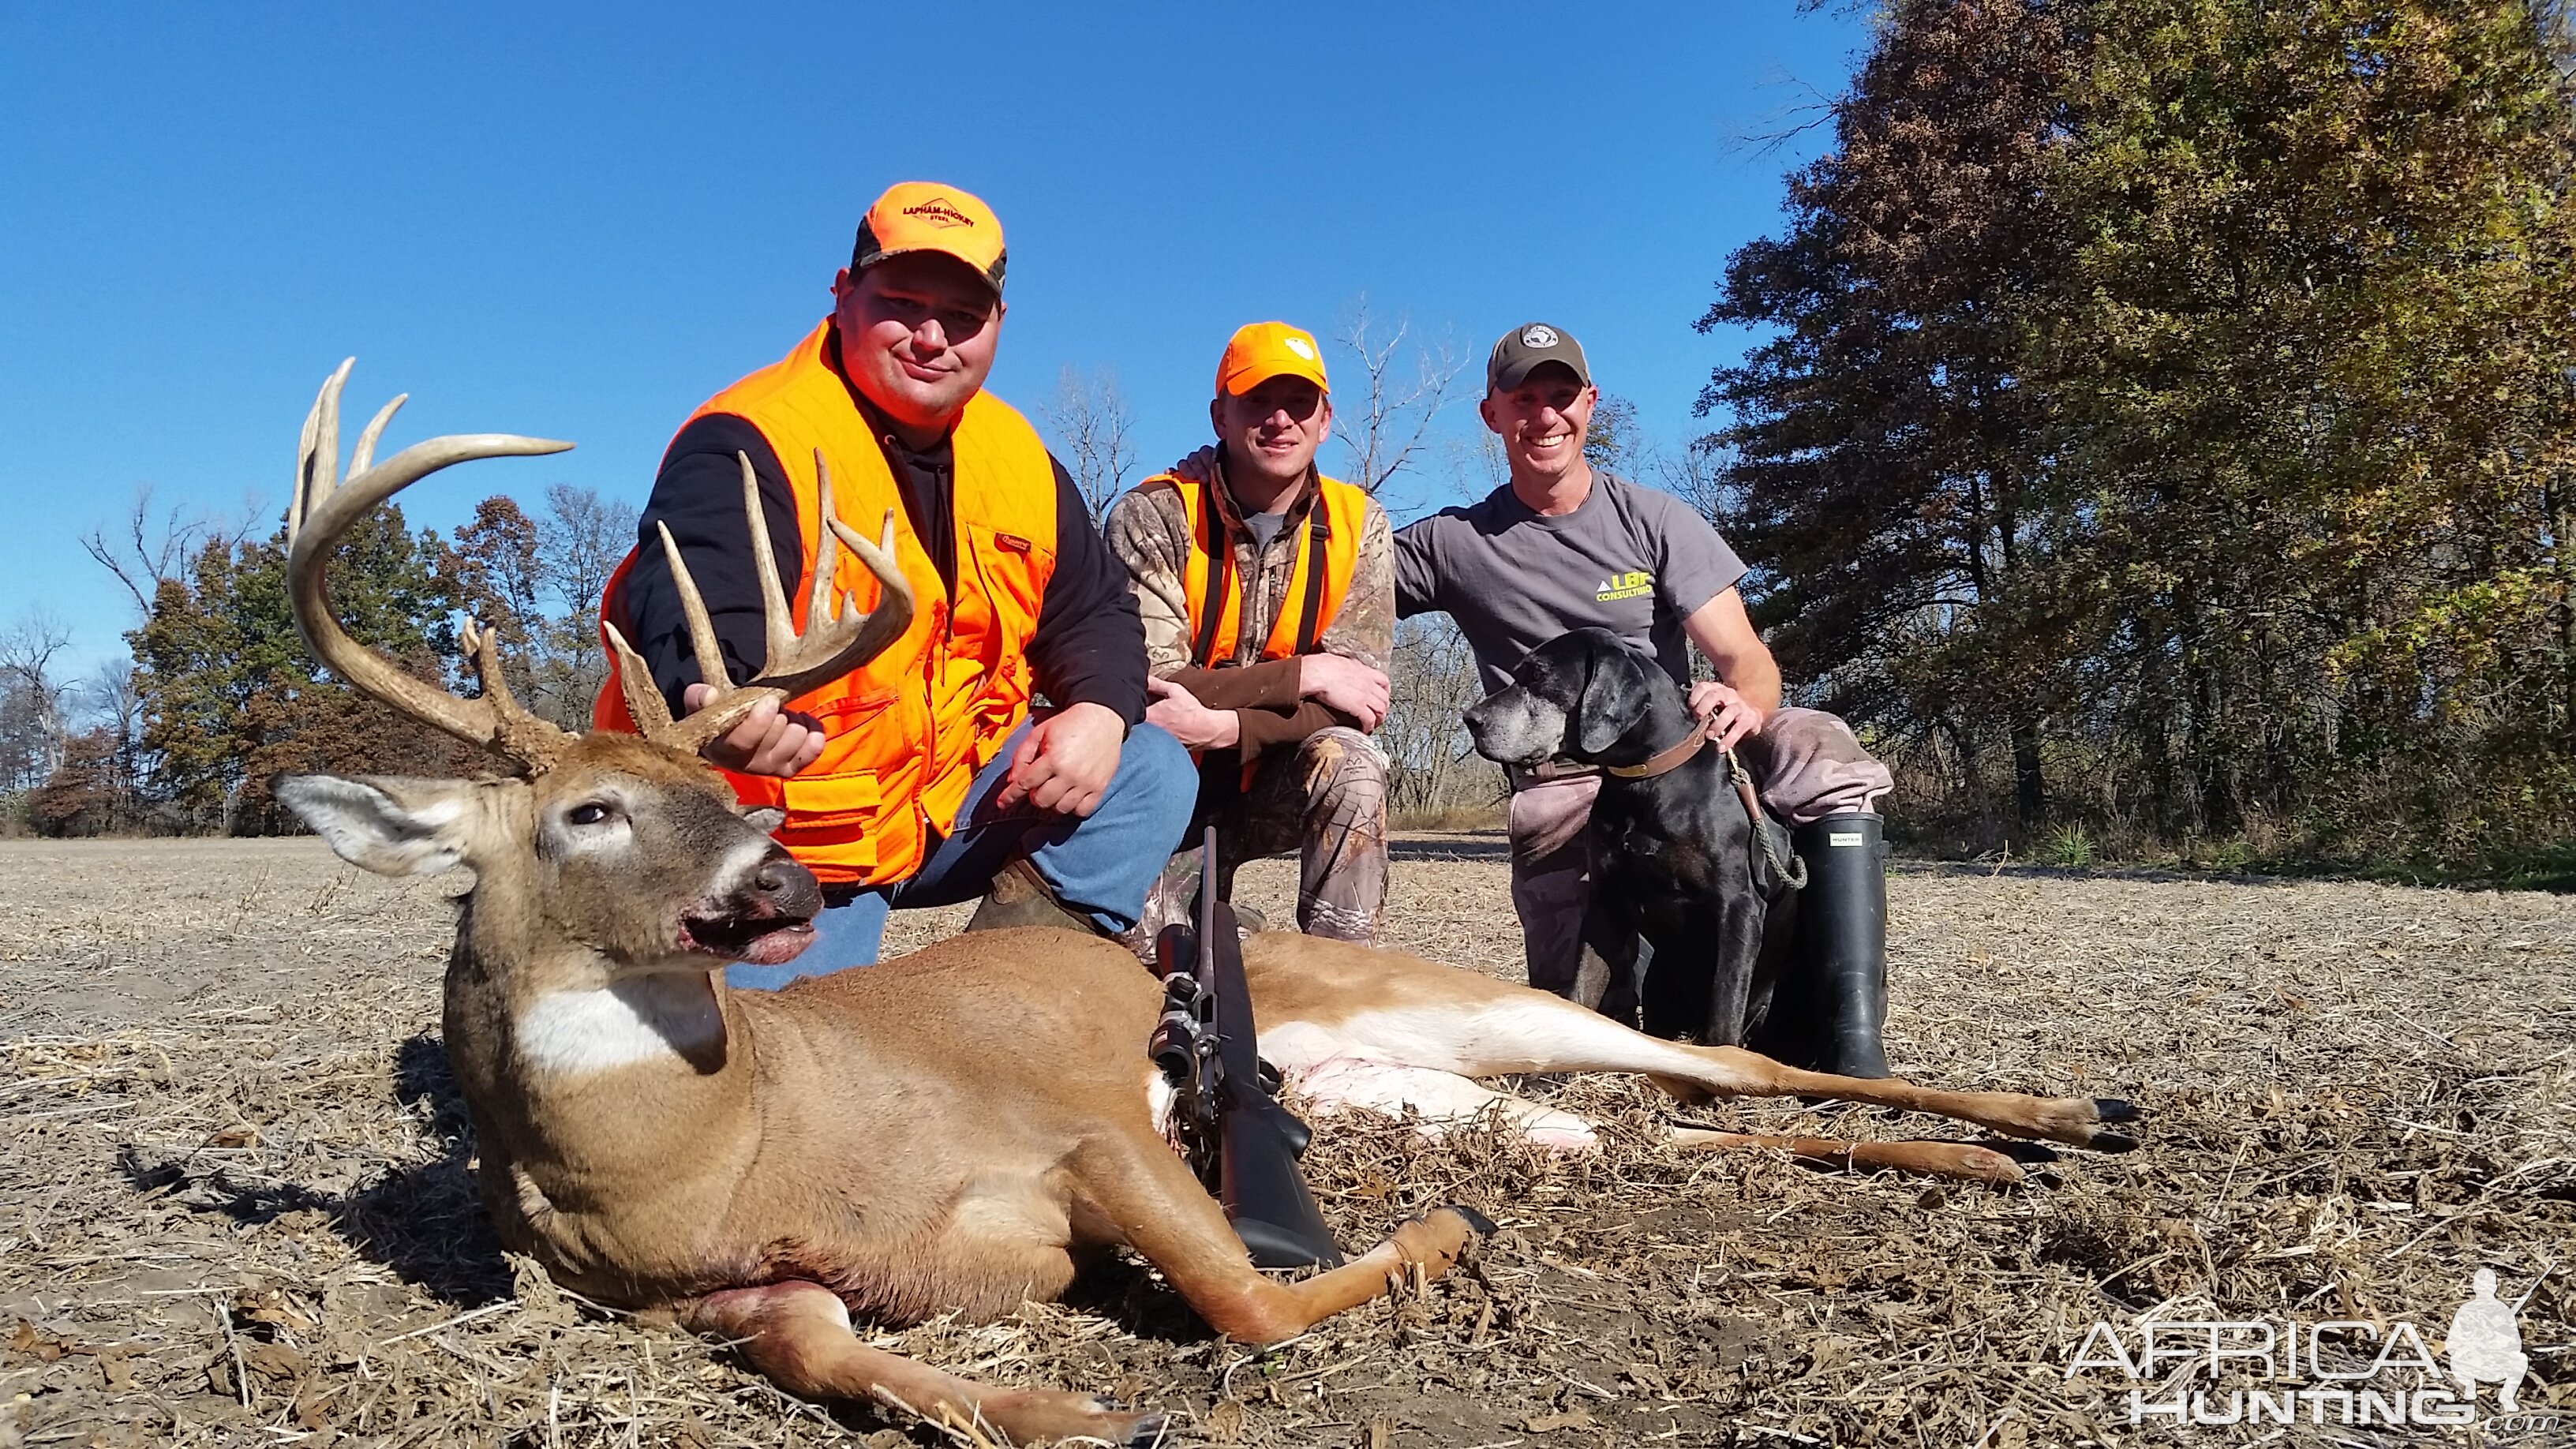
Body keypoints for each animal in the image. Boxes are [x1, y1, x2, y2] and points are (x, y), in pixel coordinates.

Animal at [1462, 626, 1803, 1041]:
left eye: (1537, 675)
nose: (1470, 719)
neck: (1644, 779)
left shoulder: (1737, 907)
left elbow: (1725, 1005)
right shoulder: (1605, 904)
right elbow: (1581, 989)